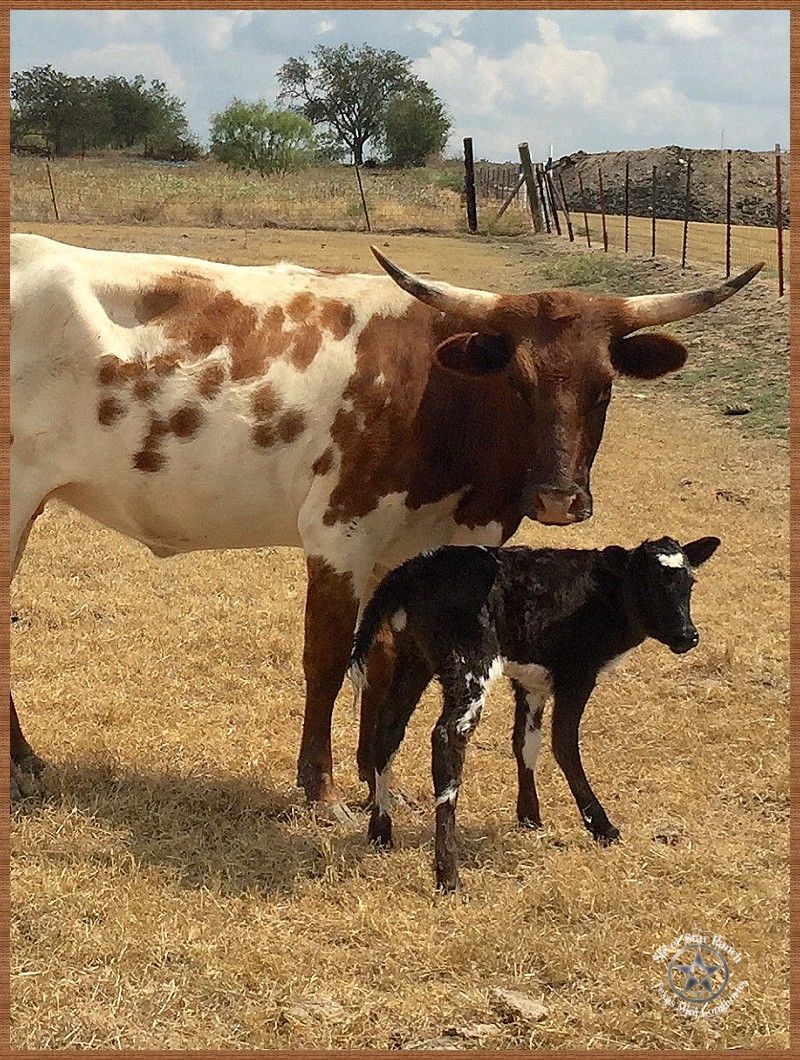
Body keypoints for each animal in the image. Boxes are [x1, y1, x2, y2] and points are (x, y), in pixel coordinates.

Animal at [10, 234, 762, 809]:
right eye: (515, 382)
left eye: (603, 386)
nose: (556, 498)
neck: (436, 393)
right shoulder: (339, 536)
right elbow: (326, 659)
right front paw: (320, 789)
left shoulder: (416, 554)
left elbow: (383, 659)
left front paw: (379, 782)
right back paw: (23, 765)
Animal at [349, 534, 720, 890]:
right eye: (647, 582)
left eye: (689, 582)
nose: (687, 635)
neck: (606, 593)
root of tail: (413, 569)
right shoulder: (576, 674)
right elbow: (564, 744)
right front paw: (601, 826)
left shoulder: (532, 681)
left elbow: (526, 744)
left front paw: (529, 817)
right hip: (470, 666)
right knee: (448, 738)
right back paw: (448, 875)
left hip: (415, 660)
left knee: (388, 730)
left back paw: (381, 831)